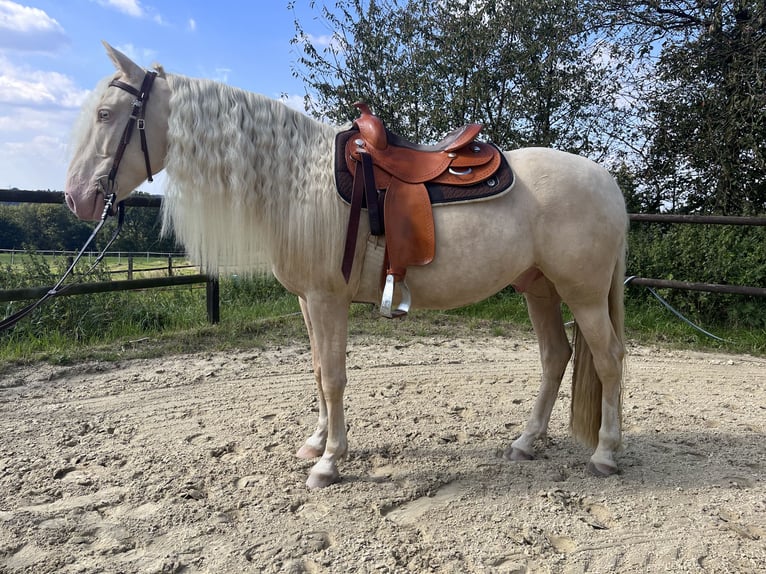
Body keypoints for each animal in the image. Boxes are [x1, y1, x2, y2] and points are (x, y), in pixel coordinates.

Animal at [67, 42, 632, 490]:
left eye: (106, 115)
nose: (76, 199)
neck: (296, 181)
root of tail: (607, 181)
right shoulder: (307, 301)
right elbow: (318, 371)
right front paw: (317, 443)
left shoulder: (326, 298)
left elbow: (335, 375)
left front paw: (330, 462)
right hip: (538, 287)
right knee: (555, 357)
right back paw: (525, 441)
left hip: (582, 292)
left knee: (608, 358)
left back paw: (606, 453)